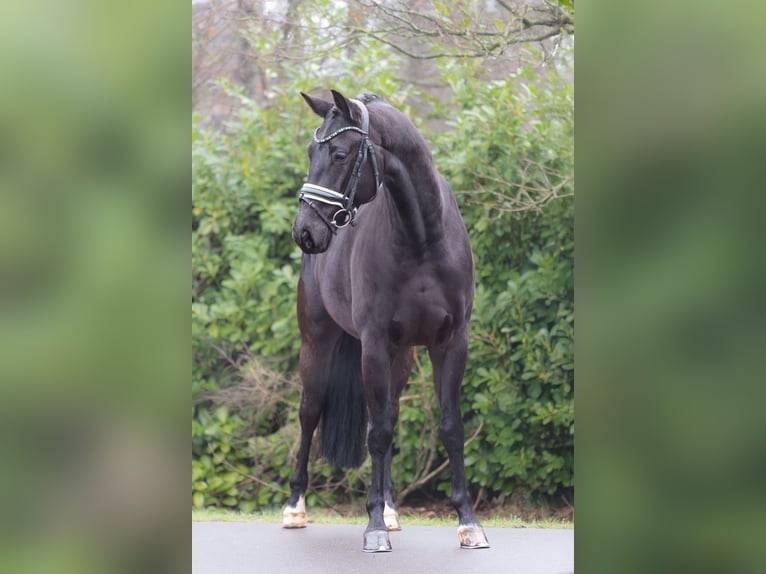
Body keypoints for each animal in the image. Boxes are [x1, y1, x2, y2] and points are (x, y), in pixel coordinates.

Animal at [284, 89, 489, 553]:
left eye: (339, 154)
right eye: (309, 152)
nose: (304, 231)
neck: (422, 239)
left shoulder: (451, 343)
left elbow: (450, 427)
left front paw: (468, 522)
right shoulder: (375, 344)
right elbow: (376, 434)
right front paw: (373, 525)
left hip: (403, 357)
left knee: (390, 414)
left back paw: (393, 510)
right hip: (317, 343)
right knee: (310, 413)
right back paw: (296, 507)